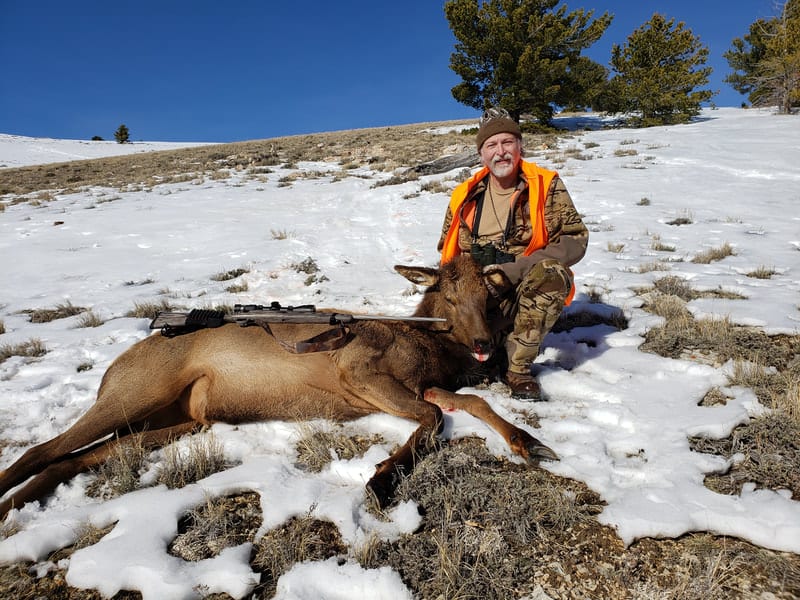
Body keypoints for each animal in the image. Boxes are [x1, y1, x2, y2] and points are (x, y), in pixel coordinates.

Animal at [0, 255, 557, 518]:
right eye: (448, 293)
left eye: (489, 296)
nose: (484, 343)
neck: (424, 344)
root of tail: (112, 368)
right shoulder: (358, 371)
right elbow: (435, 416)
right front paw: (379, 480)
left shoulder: (422, 385)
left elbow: (467, 401)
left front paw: (530, 443)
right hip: (137, 391)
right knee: (40, 450)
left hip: (177, 421)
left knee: (71, 459)